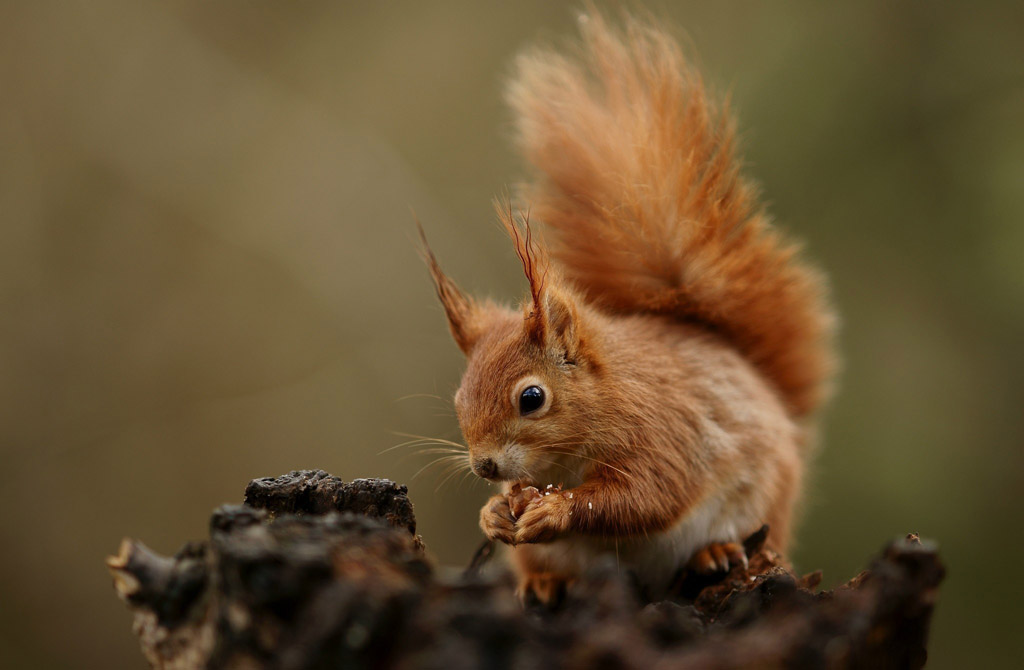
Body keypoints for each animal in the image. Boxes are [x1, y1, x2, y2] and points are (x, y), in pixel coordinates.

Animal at [419, 10, 835, 602]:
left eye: (531, 398)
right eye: (458, 399)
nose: (485, 466)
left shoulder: (664, 431)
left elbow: (647, 494)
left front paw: (556, 510)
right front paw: (495, 513)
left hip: (762, 508)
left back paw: (715, 552)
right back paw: (543, 581)